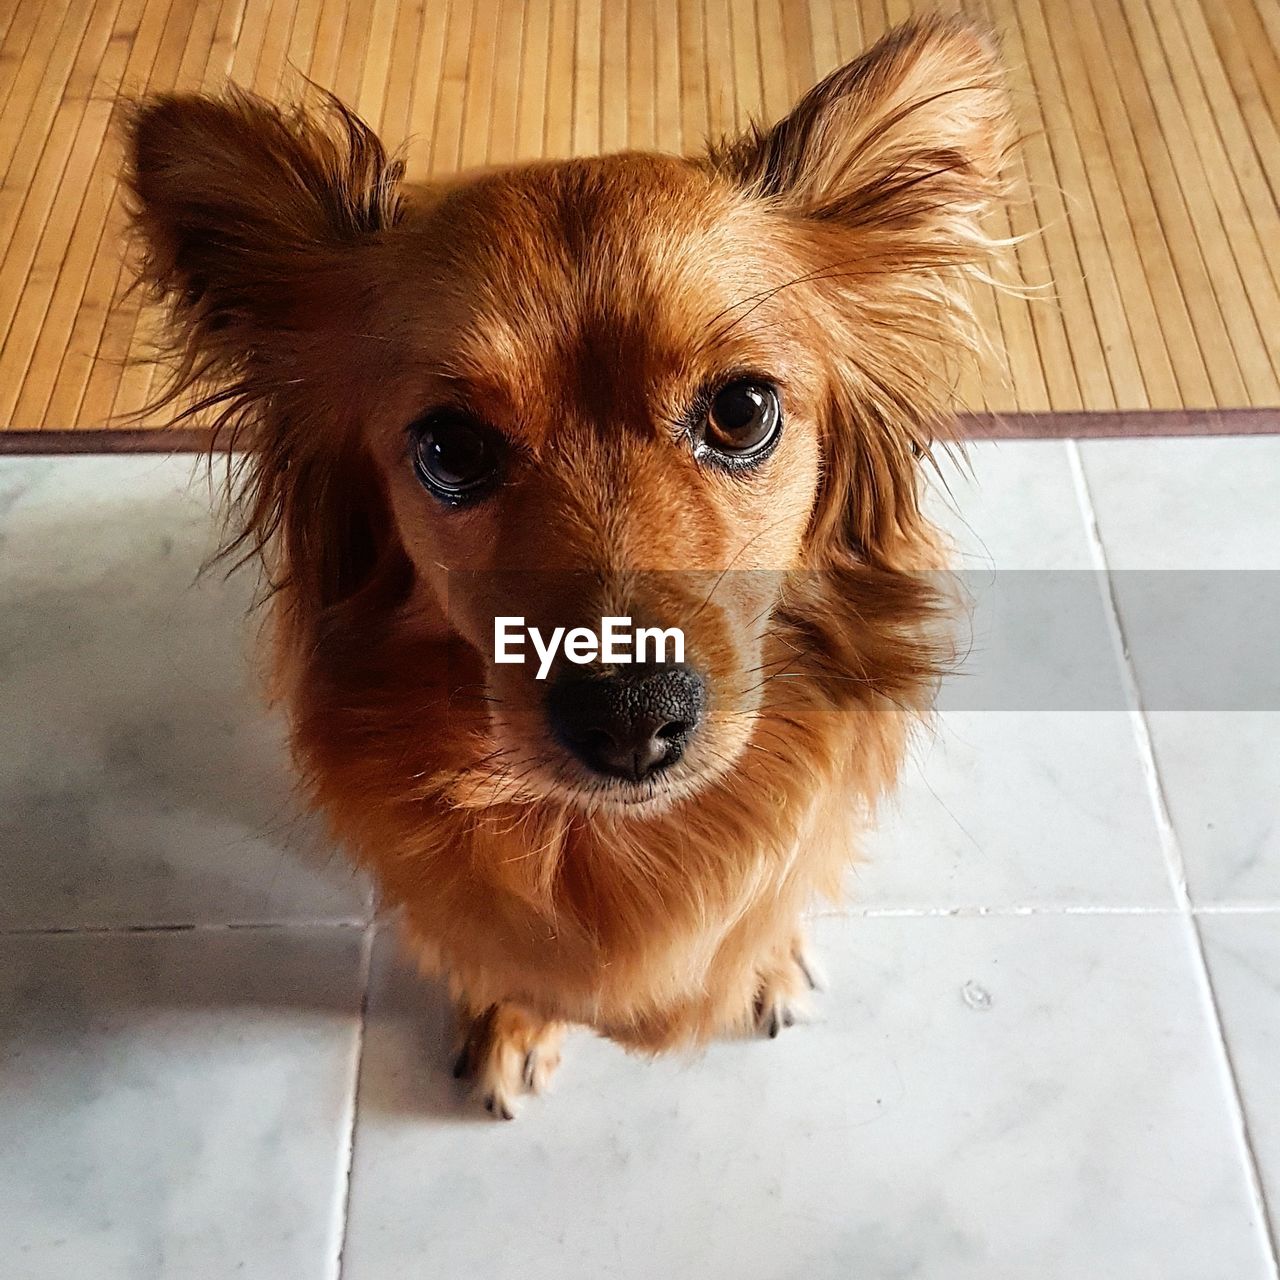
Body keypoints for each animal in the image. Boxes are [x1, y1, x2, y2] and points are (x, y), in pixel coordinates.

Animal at [124, 17, 1013, 1121]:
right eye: (452, 447)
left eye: (742, 410)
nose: (630, 717)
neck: (606, 843)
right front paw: (513, 1018)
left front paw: (760, 962)